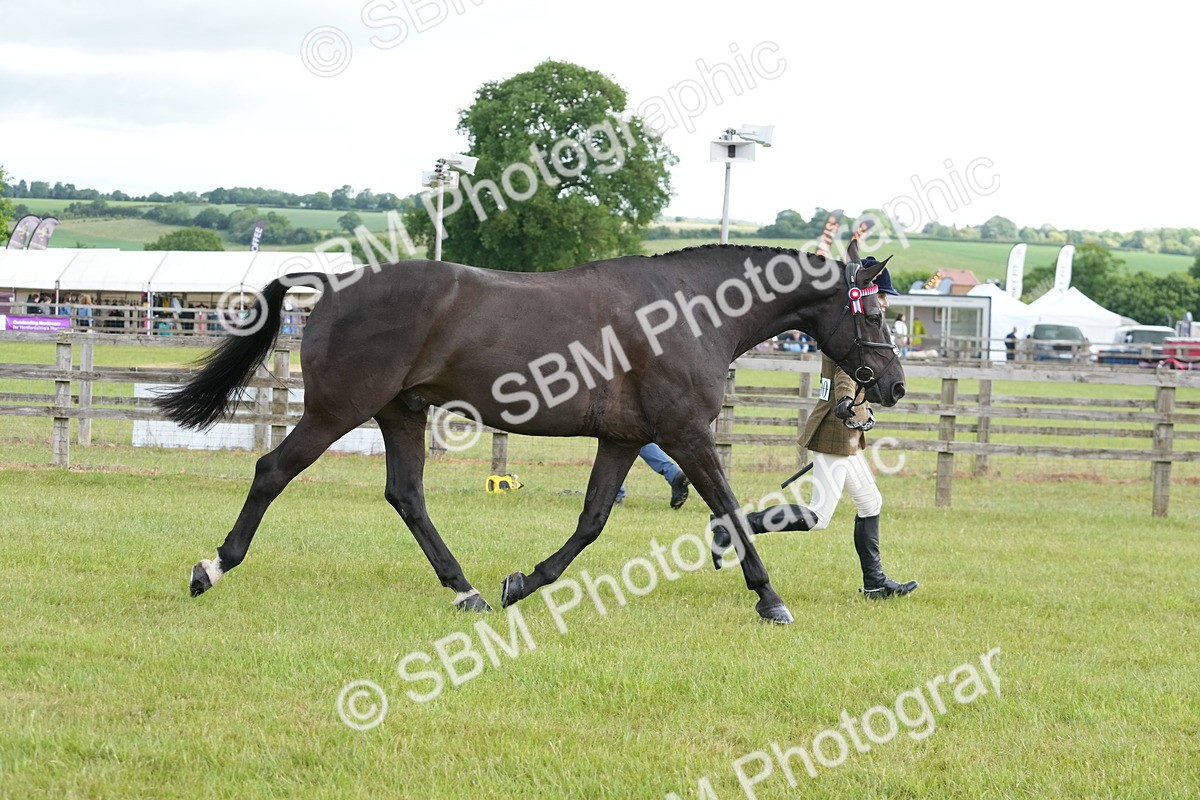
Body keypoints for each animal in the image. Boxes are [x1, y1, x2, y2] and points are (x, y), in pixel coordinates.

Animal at [155, 239, 904, 624]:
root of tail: (335, 286)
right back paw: (210, 568)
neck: (690, 311)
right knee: (273, 472)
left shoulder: (625, 439)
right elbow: (727, 508)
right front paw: (769, 597)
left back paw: (468, 590)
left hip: (402, 412)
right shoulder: (686, 434)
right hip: (337, 410)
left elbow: (594, 519)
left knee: (407, 496)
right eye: (872, 316)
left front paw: (524, 581)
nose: (894, 387)